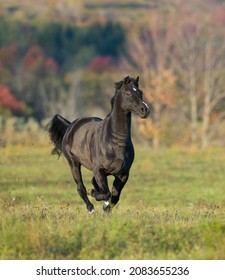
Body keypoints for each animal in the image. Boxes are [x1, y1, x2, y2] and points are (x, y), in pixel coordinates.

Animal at [47, 76, 149, 212]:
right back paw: (91, 208)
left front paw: (105, 207)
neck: (115, 143)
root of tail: (71, 125)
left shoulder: (123, 175)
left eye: (140, 92)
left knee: (94, 183)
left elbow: (114, 197)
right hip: (73, 163)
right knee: (81, 188)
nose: (145, 109)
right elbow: (106, 193)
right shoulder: (99, 170)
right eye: (128, 93)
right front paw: (94, 194)